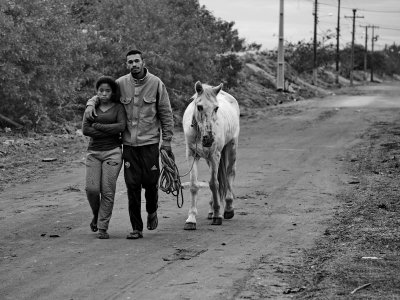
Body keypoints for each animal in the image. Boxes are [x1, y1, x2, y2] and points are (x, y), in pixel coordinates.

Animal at [182, 80, 241, 230]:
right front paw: (191, 219)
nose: (208, 139)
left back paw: (228, 209)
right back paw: (211, 210)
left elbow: (214, 184)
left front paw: (217, 216)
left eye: (216, 108)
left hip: (231, 147)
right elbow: (194, 185)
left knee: (230, 173)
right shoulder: (192, 156)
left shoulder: (215, 156)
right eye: (199, 107)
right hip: (209, 159)